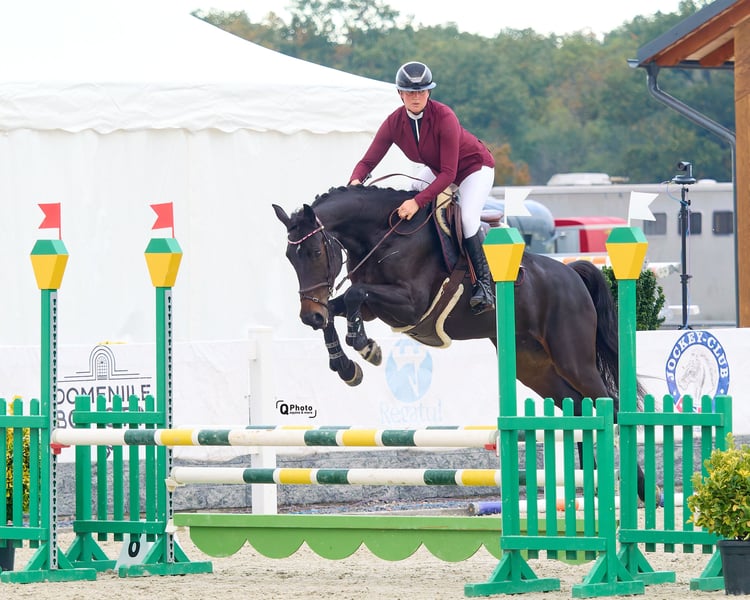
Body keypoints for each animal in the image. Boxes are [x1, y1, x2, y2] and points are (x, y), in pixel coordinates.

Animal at [273, 184, 645, 498]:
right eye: (290, 257)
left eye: (315, 251)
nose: (308, 315)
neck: (382, 237)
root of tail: (572, 274)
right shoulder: (375, 308)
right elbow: (338, 311)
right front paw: (345, 366)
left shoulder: (410, 304)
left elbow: (353, 295)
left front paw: (365, 346)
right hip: (534, 367)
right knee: (580, 408)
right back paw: (593, 486)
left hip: (573, 359)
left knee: (608, 405)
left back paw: (641, 490)